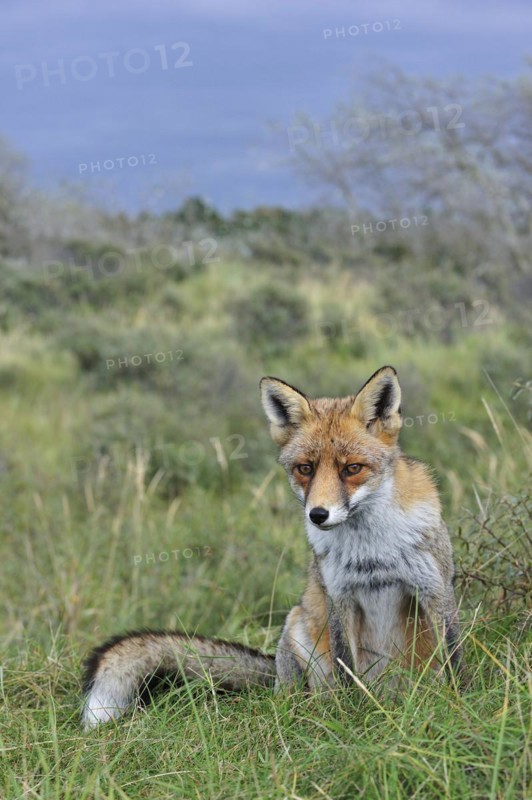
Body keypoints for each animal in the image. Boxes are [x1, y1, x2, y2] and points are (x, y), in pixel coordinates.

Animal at [82, 366, 462, 728]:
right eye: (305, 468)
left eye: (352, 468)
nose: (318, 515)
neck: (371, 549)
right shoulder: (339, 597)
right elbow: (347, 669)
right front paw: (354, 714)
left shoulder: (435, 589)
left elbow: (454, 660)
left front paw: (462, 701)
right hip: (297, 627)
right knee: (303, 693)